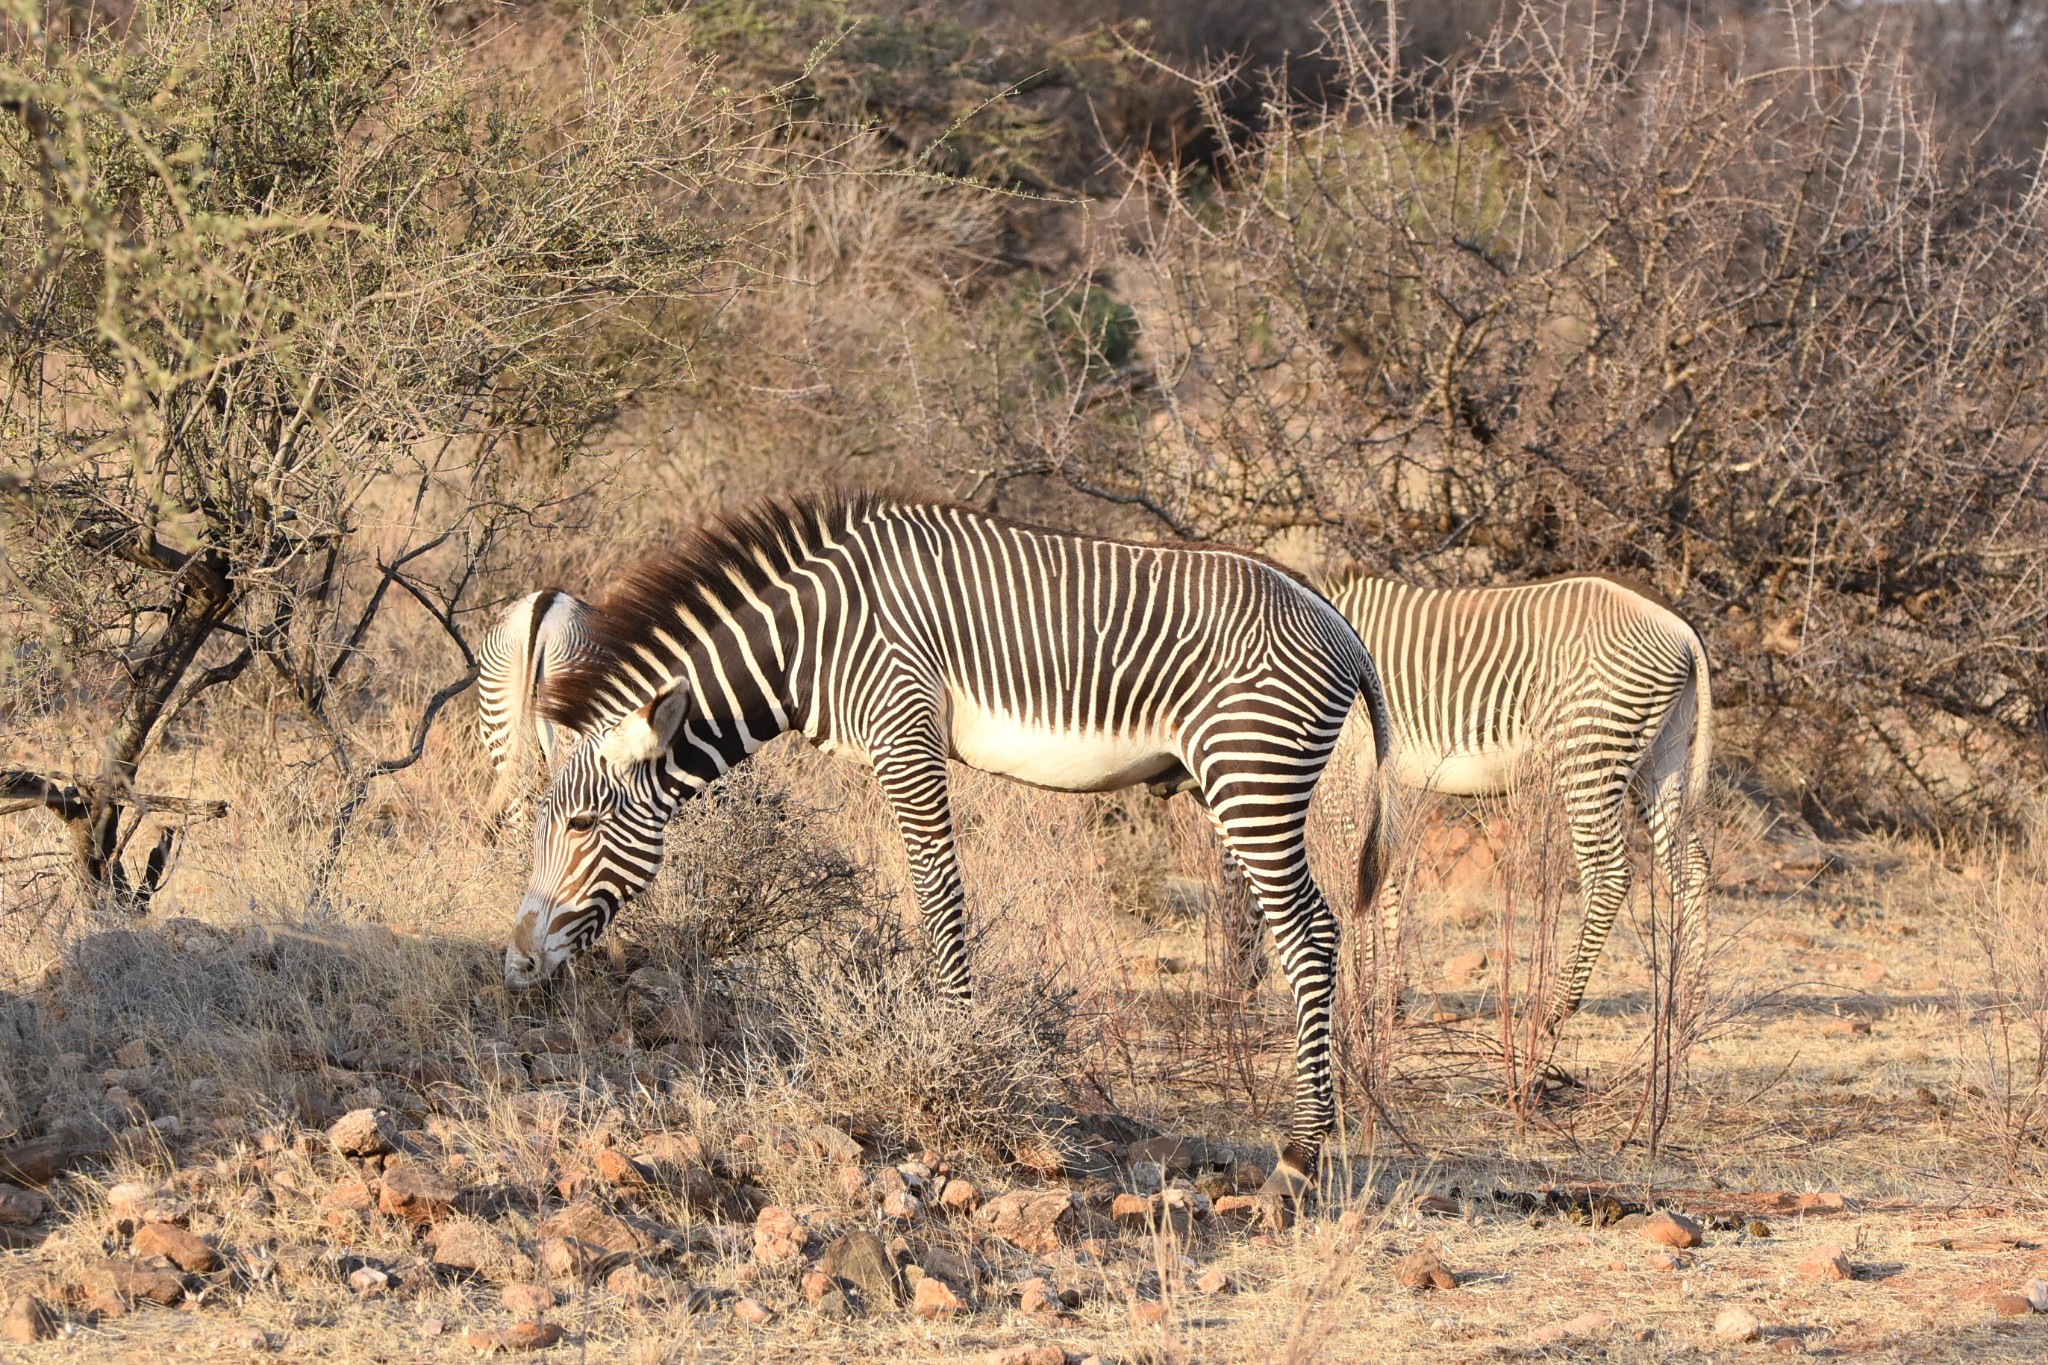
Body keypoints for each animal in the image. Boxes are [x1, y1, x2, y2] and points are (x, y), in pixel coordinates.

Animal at [505, 493, 1400, 1195]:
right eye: (541, 827)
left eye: (581, 827)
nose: (515, 962)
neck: (812, 638)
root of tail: (1342, 623)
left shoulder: (906, 738)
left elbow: (940, 901)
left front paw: (955, 1064)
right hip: (1245, 783)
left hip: (1253, 774)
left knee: (1311, 931)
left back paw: (1301, 1155)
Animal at [1261, 573, 1712, 1031]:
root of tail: (1677, 623)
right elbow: (1383, 875)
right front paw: (1389, 998)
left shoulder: (1348, 768)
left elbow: (1356, 873)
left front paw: (1365, 999)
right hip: (1661, 755)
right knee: (1689, 864)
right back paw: (1687, 1002)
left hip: (1590, 749)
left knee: (1610, 873)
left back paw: (1555, 1009)